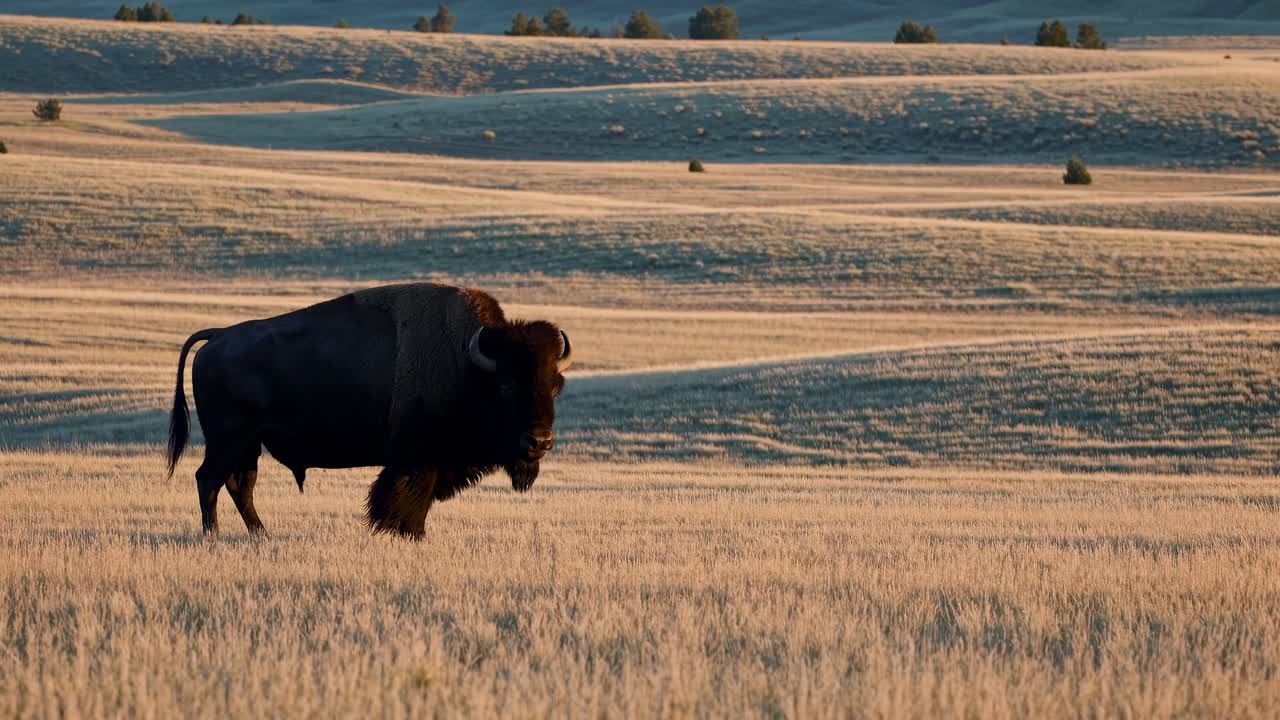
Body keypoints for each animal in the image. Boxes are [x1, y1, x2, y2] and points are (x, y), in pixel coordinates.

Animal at [165, 283, 573, 539]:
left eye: (555, 385)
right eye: (506, 385)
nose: (539, 441)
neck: (468, 366)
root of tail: (218, 336)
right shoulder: (417, 459)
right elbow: (406, 499)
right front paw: (407, 534)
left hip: (249, 444)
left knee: (240, 484)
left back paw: (260, 534)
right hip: (228, 439)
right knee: (209, 479)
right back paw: (213, 535)